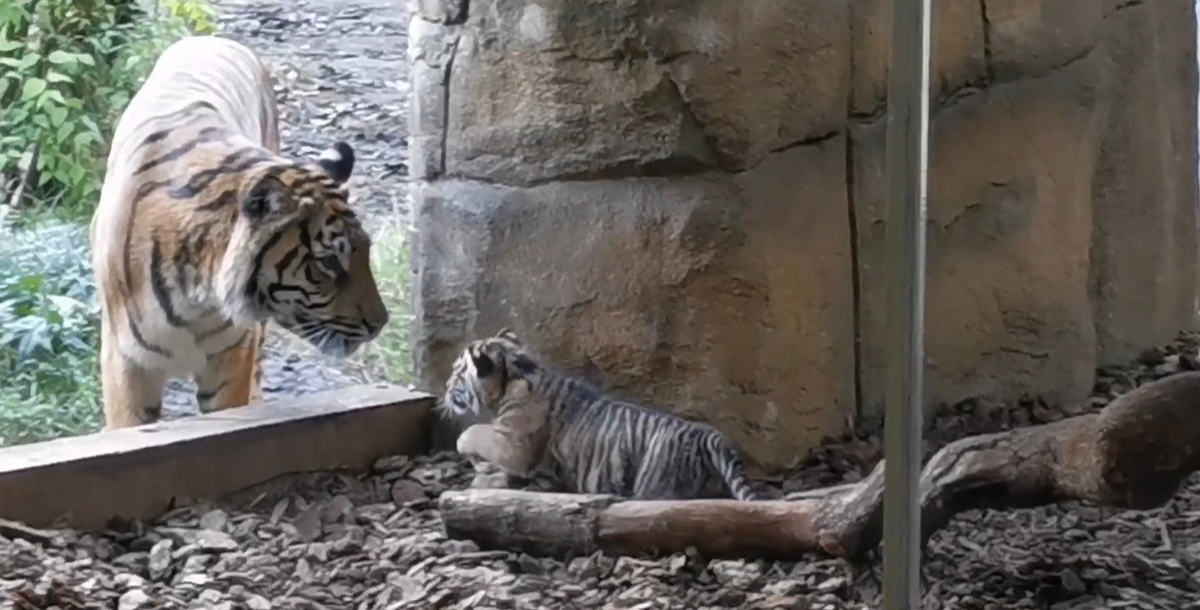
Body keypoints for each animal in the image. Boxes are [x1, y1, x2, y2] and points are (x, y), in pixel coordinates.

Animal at [89, 35, 389, 430]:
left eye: (366, 251)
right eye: (328, 263)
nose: (380, 324)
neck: (195, 294)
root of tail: (213, 38)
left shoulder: (232, 353)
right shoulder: (127, 362)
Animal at [440, 329, 764, 501]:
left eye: (456, 372)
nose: (444, 388)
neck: (517, 371)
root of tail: (708, 435)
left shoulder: (511, 444)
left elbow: (474, 433)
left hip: (654, 485)